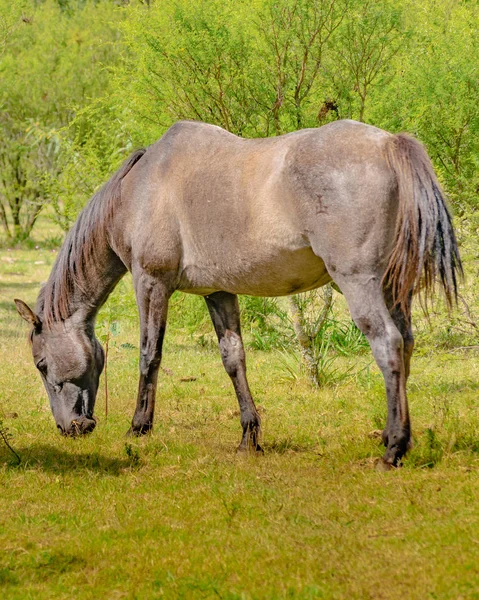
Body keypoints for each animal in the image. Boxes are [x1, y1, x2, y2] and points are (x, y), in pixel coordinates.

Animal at [15, 120, 462, 468]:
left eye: (40, 364)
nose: (71, 428)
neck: (138, 190)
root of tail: (388, 144)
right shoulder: (219, 292)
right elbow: (234, 359)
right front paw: (250, 437)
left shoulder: (151, 283)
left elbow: (149, 354)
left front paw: (139, 427)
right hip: (392, 288)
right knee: (406, 344)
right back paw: (396, 438)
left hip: (359, 283)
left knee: (388, 345)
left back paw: (393, 449)